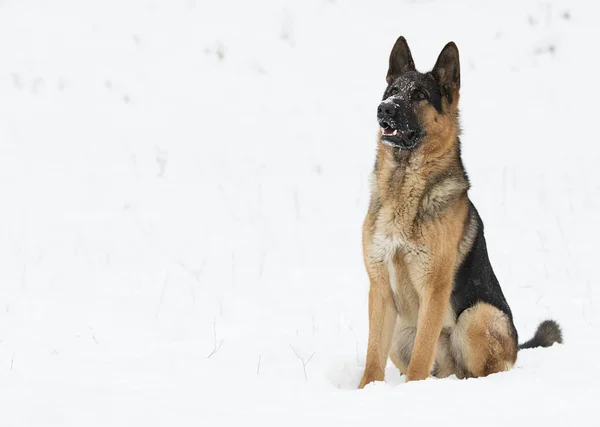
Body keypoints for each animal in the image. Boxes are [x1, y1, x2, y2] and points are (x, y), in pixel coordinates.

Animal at [358, 38, 560, 390]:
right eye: (392, 91)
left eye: (420, 96)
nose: (384, 109)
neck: (404, 185)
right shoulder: (380, 289)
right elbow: (373, 358)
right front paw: (365, 391)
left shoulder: (434, 290)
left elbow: (422, 355)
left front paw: (413, 390)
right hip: (401, 330)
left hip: (477, 316)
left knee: (481, 370)